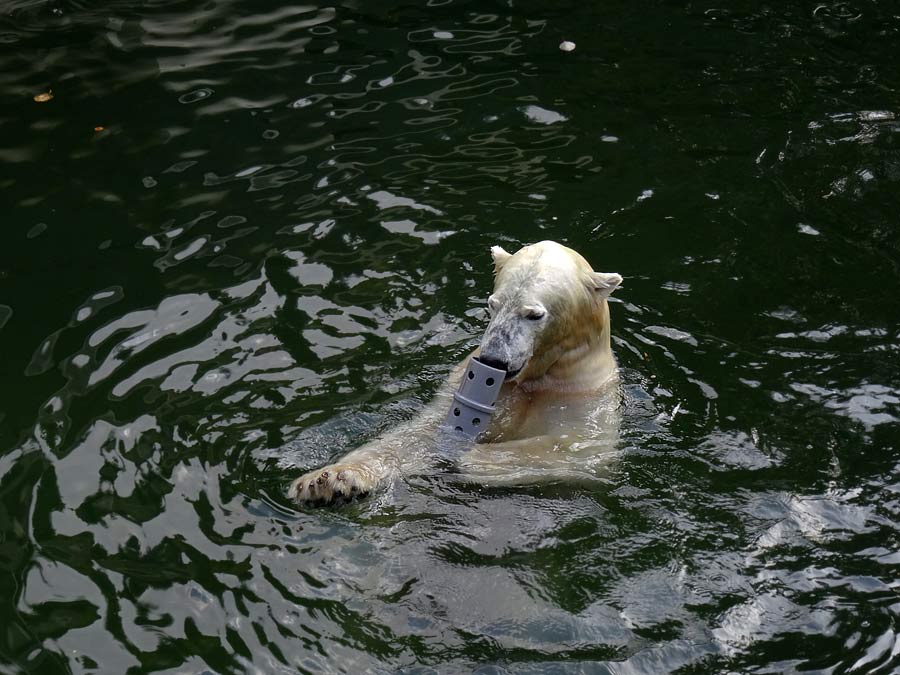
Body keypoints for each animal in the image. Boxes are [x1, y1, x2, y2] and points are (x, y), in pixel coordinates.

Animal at [292, 240, 624, 504]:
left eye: (534, 314)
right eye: (493, 304)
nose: (494, 360)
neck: (536, 378)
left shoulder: (583, 399)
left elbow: (575, 451)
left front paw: (461, 453)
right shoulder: (474, 386)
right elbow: (416, 434)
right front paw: (326, 482)